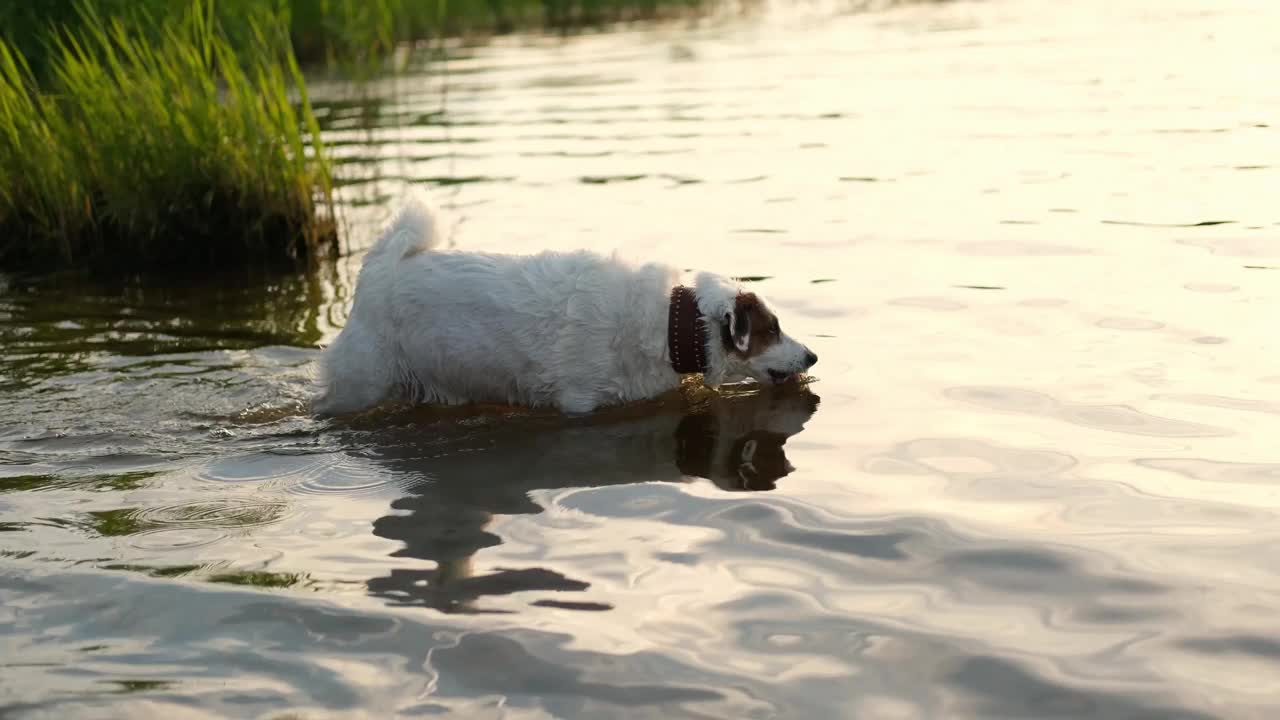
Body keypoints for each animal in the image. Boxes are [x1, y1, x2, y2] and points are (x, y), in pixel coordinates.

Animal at [312, 198, 819, 417]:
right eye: (771, 329)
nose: (813, 356)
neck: (672, 326)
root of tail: (379, 268)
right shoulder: (580, 404)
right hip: (359, 385)